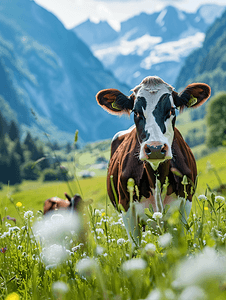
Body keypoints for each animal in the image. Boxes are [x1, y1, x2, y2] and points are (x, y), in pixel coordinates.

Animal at [95, 76, 210, 243]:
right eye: (136, 112)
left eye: (171, 110)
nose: (155, 148)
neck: (156, 178)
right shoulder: (126, 208)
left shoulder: (185, 203)